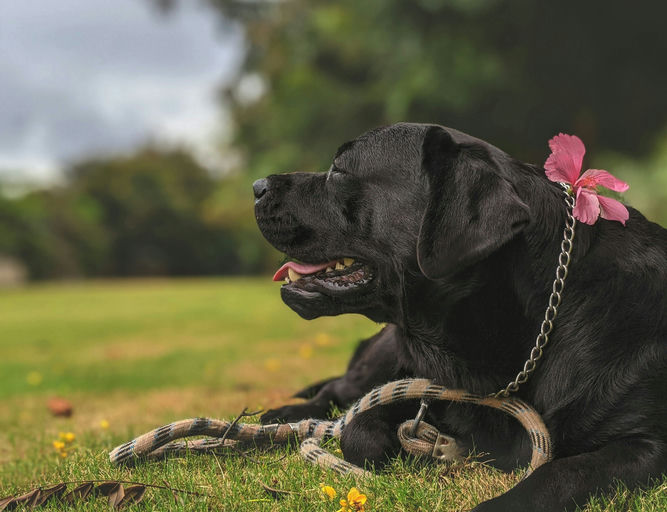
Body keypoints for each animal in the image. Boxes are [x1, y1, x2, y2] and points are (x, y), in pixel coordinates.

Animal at [252, 125, 667, 512]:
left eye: (338, 169)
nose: (256, 185)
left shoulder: (647, 444)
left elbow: (564, 472)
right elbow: (357, 429)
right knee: (337, 391)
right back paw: (277, 419)